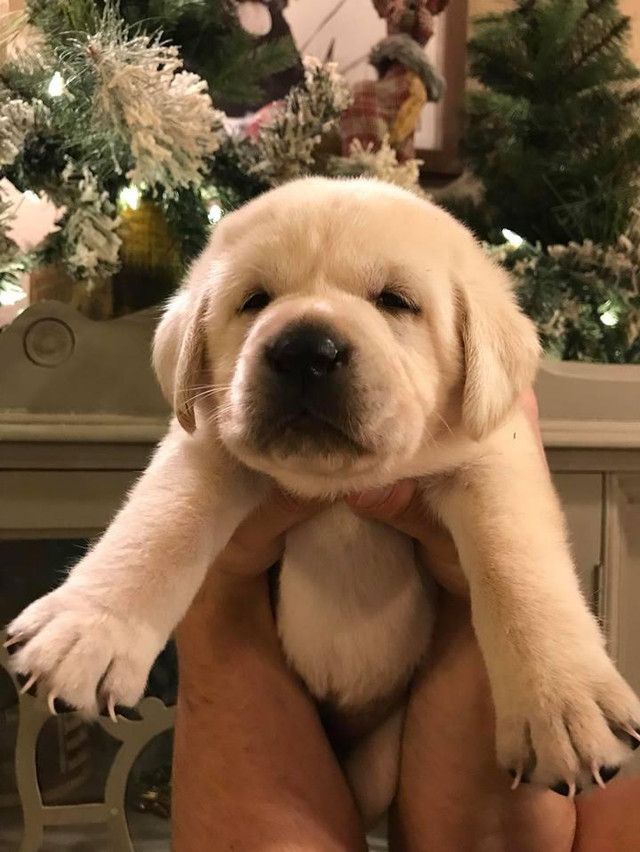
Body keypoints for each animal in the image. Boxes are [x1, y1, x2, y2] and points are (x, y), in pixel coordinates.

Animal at [8, 176, 640, 824]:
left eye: (396, 301)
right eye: (255, 300)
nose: (305, 350)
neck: (338, 485)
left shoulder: (495, 456)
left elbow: (516, 567)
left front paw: (562, 701)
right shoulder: (207, 443)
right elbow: (159, 523)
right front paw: (87, 630)